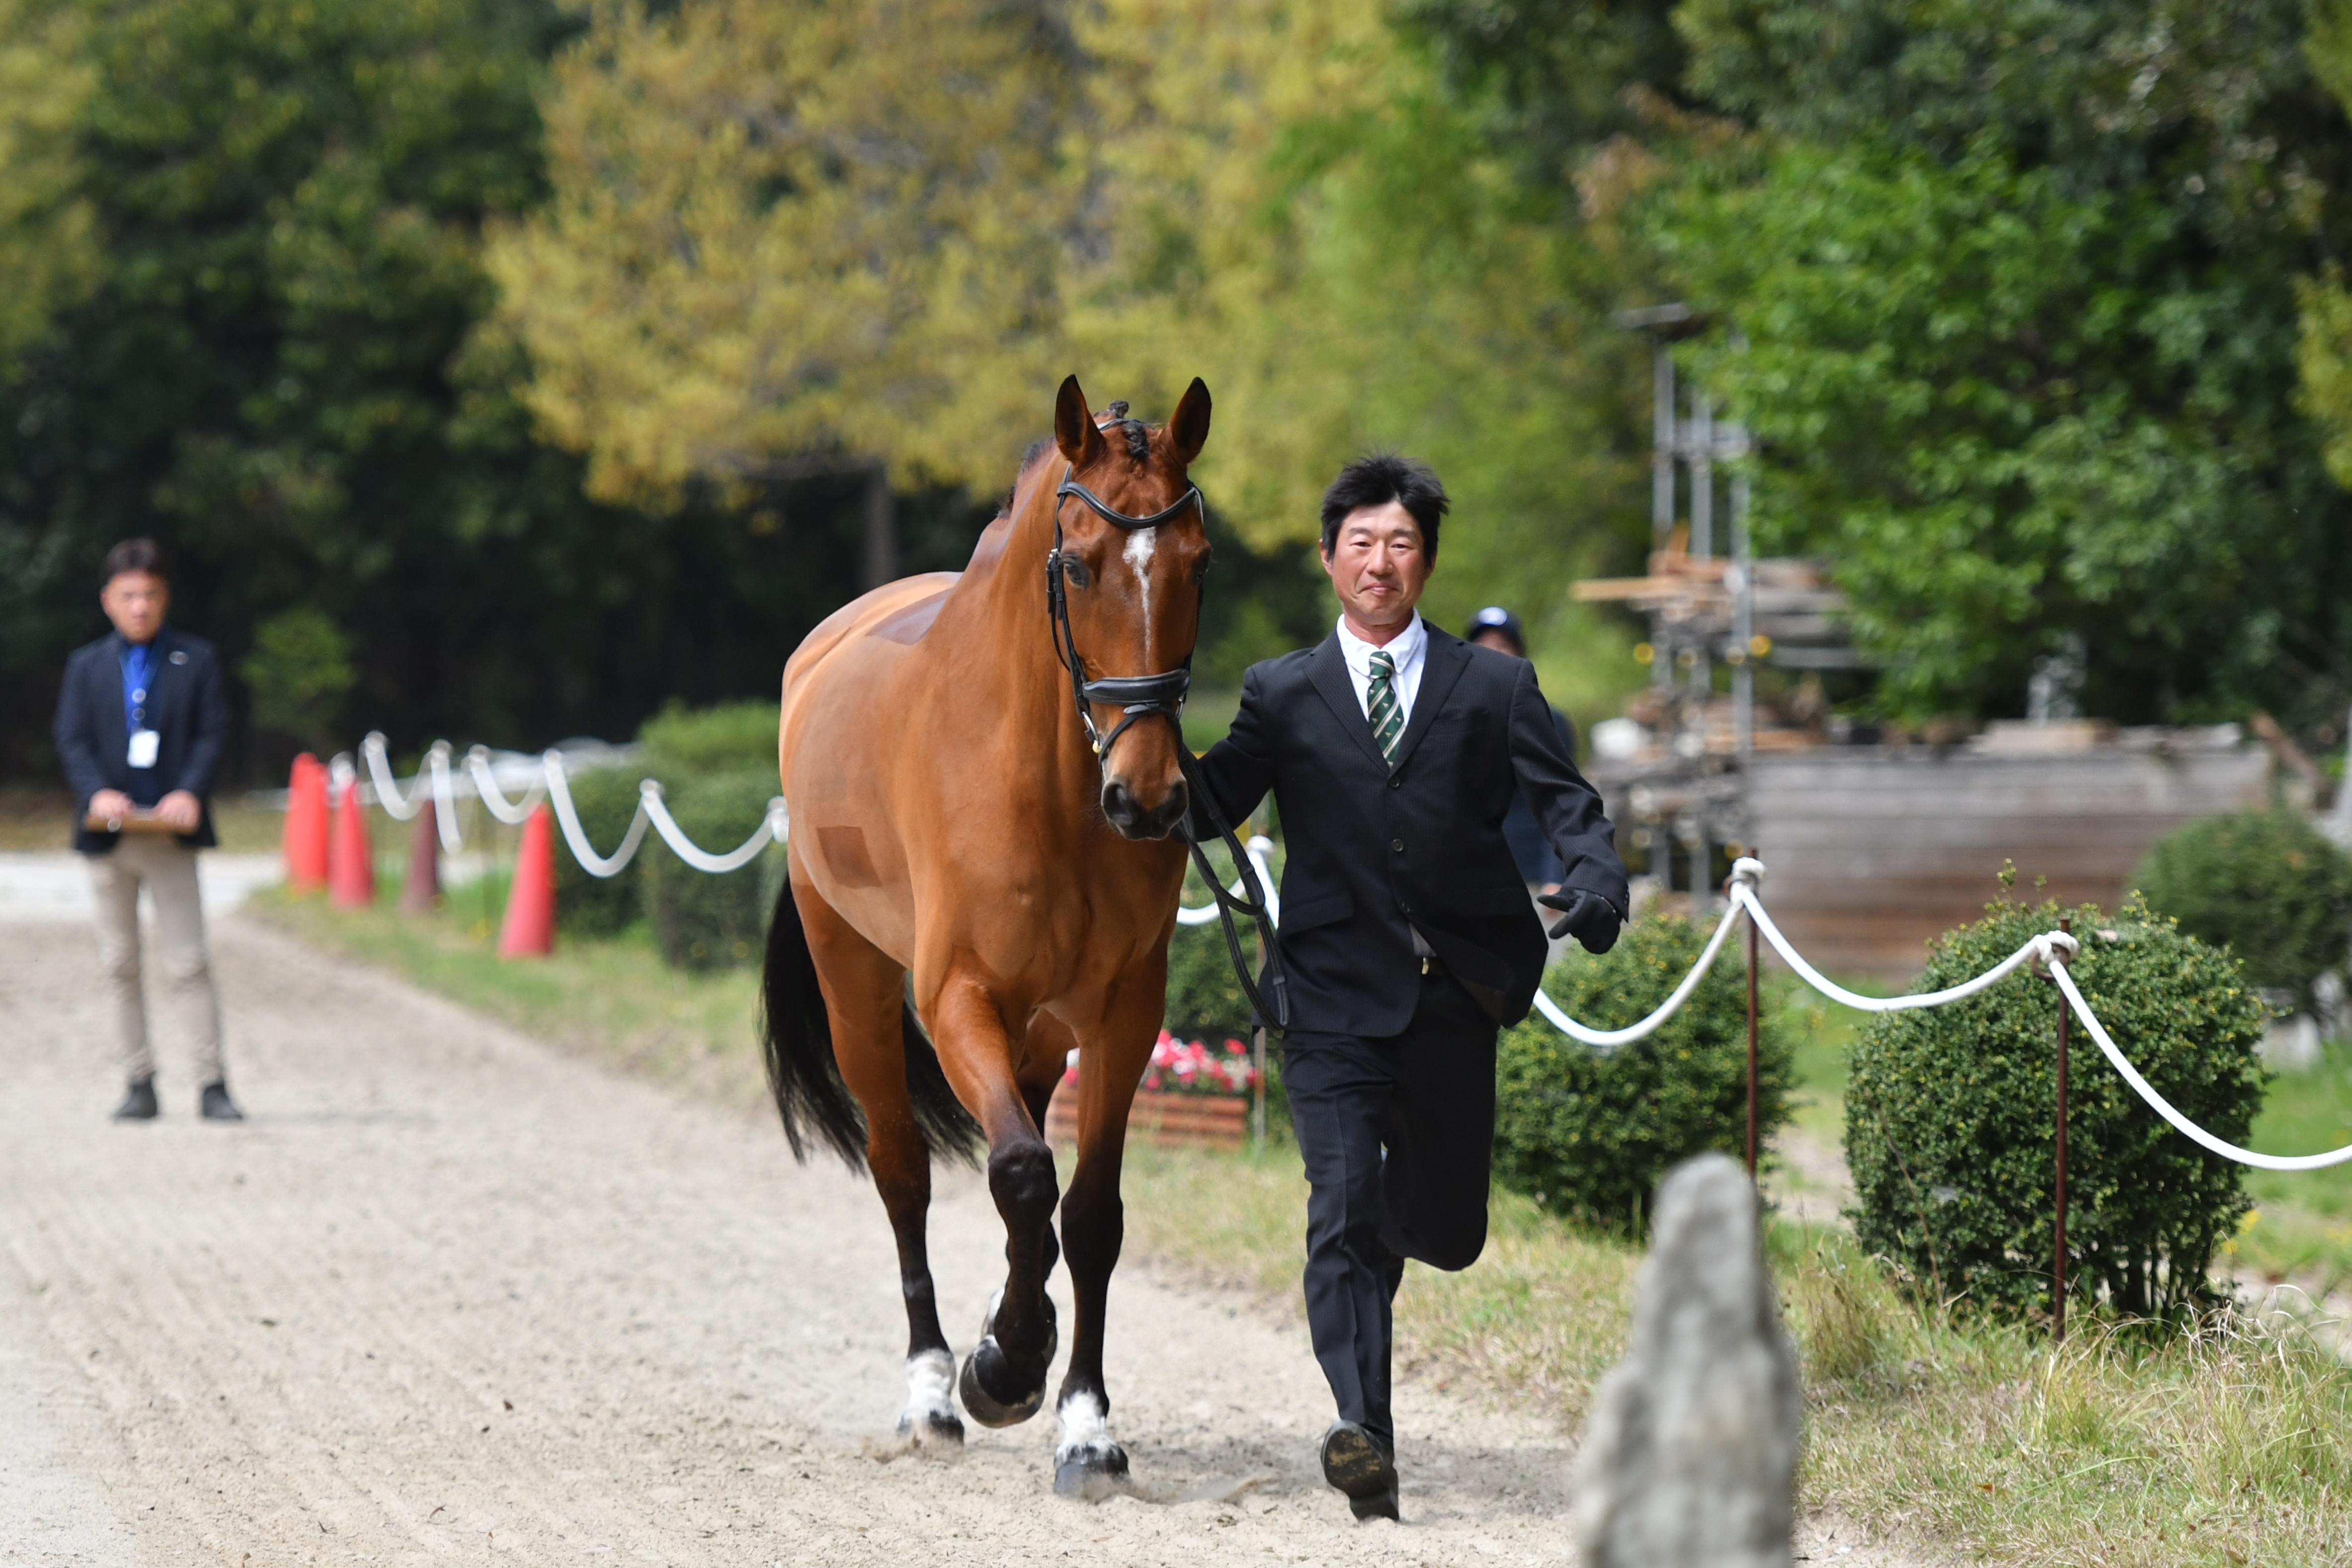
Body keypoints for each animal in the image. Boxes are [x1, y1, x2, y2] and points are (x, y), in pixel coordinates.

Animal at [763, 374, 1218, 1493]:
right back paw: (932, 1391)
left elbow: (1086, 1215)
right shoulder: (955, 998)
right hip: (856, 990)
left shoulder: (1121, 1016)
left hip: (1041, 1036)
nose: (1147, 800)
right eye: (1078, 564)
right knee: (903, 1173)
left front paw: (1084, 1425)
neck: (1047, 782)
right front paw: (1002, 1366)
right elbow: (1017, 1175)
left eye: (1197, 562)